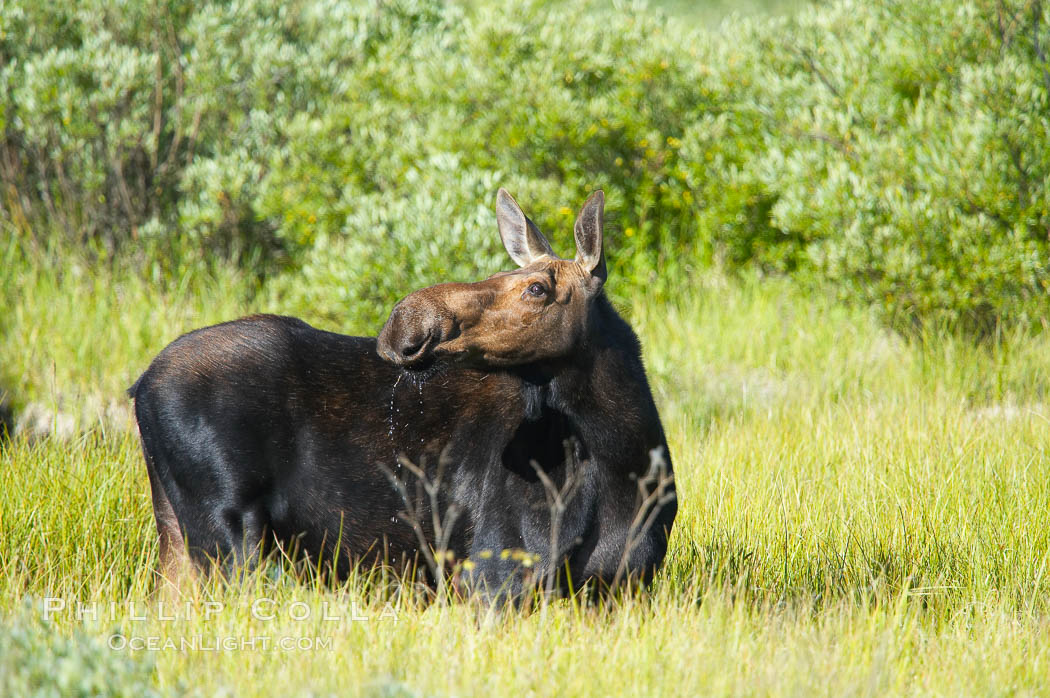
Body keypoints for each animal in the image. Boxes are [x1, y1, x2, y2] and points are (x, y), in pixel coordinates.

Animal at [131, 188, 676, 600]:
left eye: (537, 288)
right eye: (502, 274)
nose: (405, 324)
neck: (620, 459)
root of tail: (141, 386)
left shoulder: (622, 588)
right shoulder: (491, 572)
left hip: (177, 534)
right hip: (228, 533)